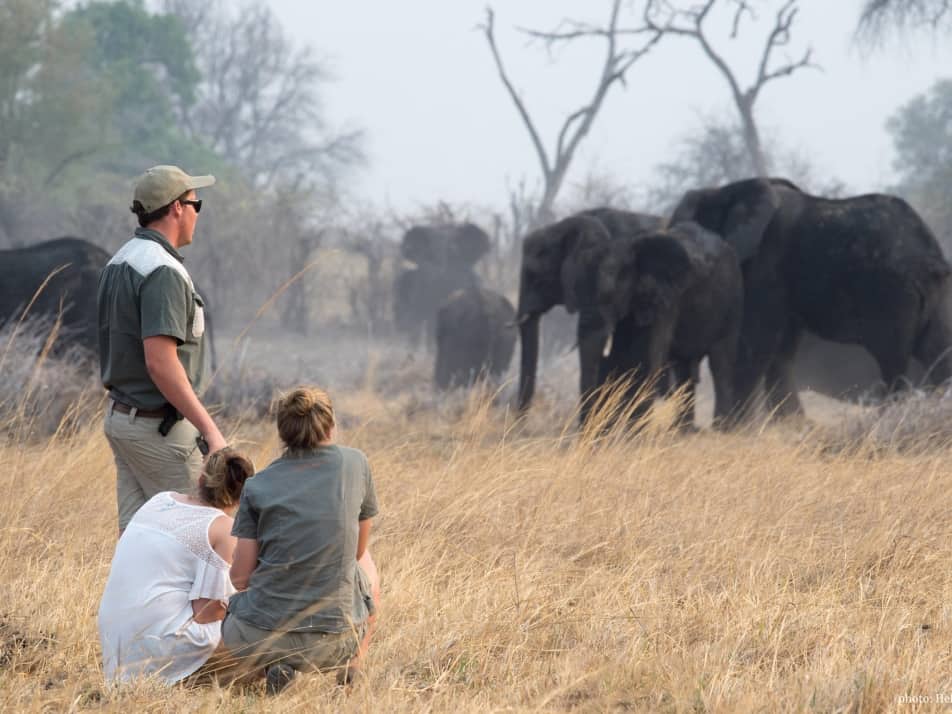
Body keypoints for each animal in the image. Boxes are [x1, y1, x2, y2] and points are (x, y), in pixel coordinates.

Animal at [596, 220, 744, 426]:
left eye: (649, 297)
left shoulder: (669, 299)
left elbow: (652, 353)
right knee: (684, 370)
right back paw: (683, 429)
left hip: (732, 303)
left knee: (721, 363)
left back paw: (722, 427)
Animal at [668, 176, 952, 418]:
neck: (727, 189)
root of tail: (931, 257)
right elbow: (782, 348)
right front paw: (792, 425)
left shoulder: (766, 263)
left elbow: (755, 339)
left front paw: (736, 429)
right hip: (935, 295)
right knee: (938, 353)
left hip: (892, 293)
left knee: (893, 361)